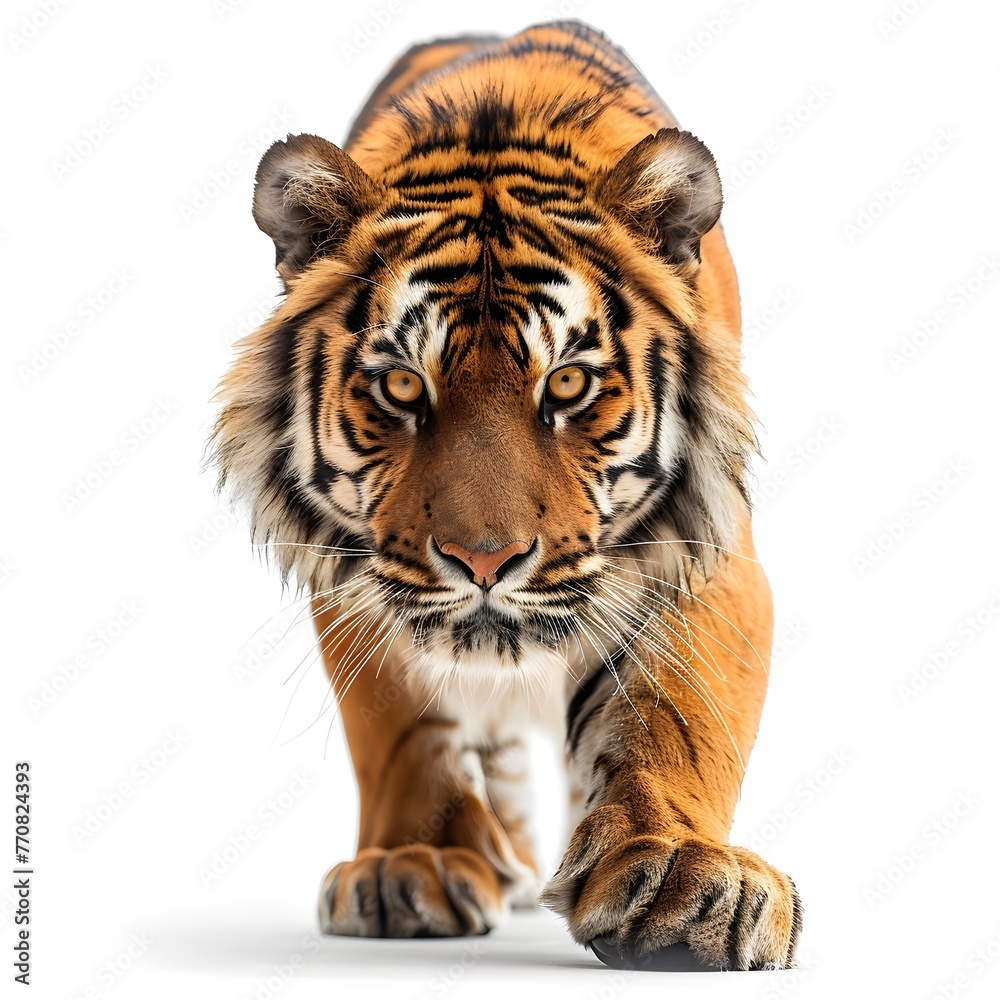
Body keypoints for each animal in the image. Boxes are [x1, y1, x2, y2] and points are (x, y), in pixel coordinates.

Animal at [212, 19, 801, 970]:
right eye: (402, 387)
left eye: (567, 383)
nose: (484, 560)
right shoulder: (354, 570)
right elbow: (399, 724)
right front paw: (413, 862)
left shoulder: (704, 546)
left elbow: (677, 714)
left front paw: (679, 871)